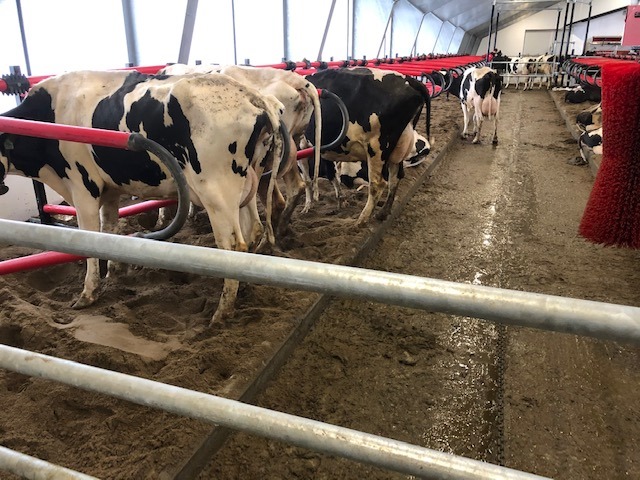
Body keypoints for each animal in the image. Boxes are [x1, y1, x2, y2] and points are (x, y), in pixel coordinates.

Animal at [0, 70, 285, 325]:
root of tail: (251, 95)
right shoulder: (110, 190)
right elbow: (108, 232)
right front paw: (114, 272)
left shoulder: (83, 187)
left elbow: (88, 239)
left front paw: (88, 293)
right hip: (246, 186)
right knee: (253, 230)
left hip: (216, 192)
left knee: (233, 246)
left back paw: (221, 314)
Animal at [302, 67, 431, 224]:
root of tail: (408, 80)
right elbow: (331, 174)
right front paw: (340, 201)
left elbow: (307, 180)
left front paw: (307, 207)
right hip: (398, 145)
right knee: (396, 177)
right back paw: (382, 213)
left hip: (377, 146)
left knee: (378, 183)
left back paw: (361, 220)